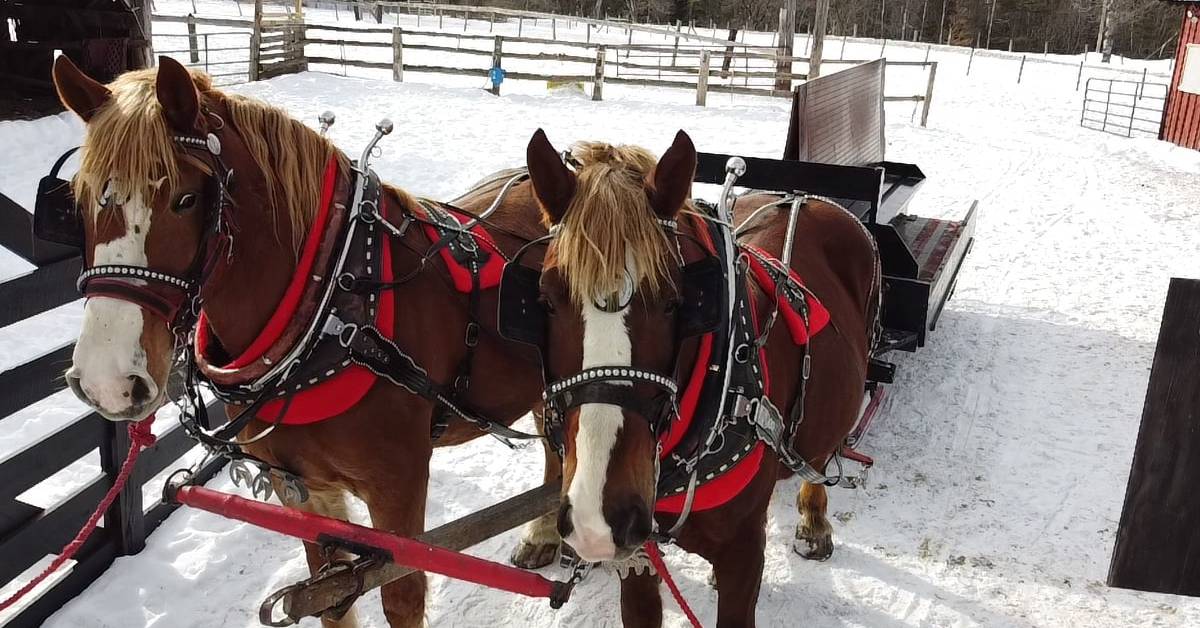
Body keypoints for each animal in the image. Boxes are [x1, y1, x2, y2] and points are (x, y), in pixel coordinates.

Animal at [50, 55, 563, 627]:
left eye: (185, 199)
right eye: (79, 200)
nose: (106, 379)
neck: (334, 301)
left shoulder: (398, 488)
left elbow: (401, 598)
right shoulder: (302, 491)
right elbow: (331, 596)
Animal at [517, 129, 879, 626]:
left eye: (676, 301)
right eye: (546, 299)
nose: (598, 517)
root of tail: (801, 195)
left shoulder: (743, 557)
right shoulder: (638, 555)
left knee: (823, 456)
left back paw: (814, 521)